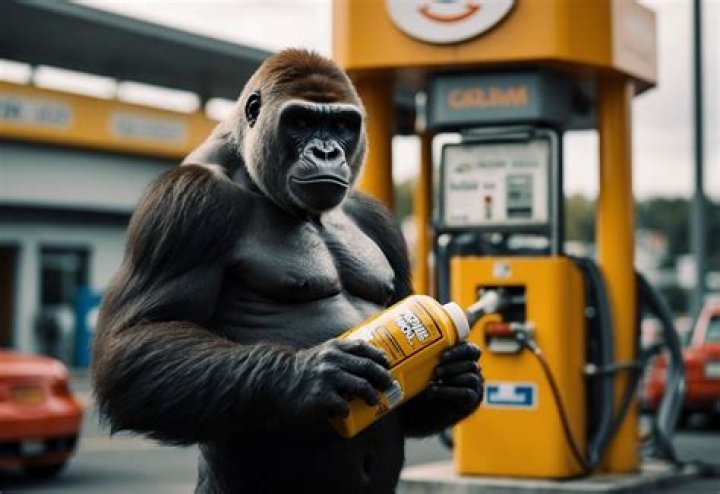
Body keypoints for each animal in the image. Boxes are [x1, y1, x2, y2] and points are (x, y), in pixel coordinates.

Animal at [92, 49, 483, 494]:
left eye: (341, 125)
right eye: (301, 121)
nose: (328, 151)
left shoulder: (377, 217)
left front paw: (455, 382)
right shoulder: (186, 203)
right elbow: (137, 338)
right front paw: (307, 375)